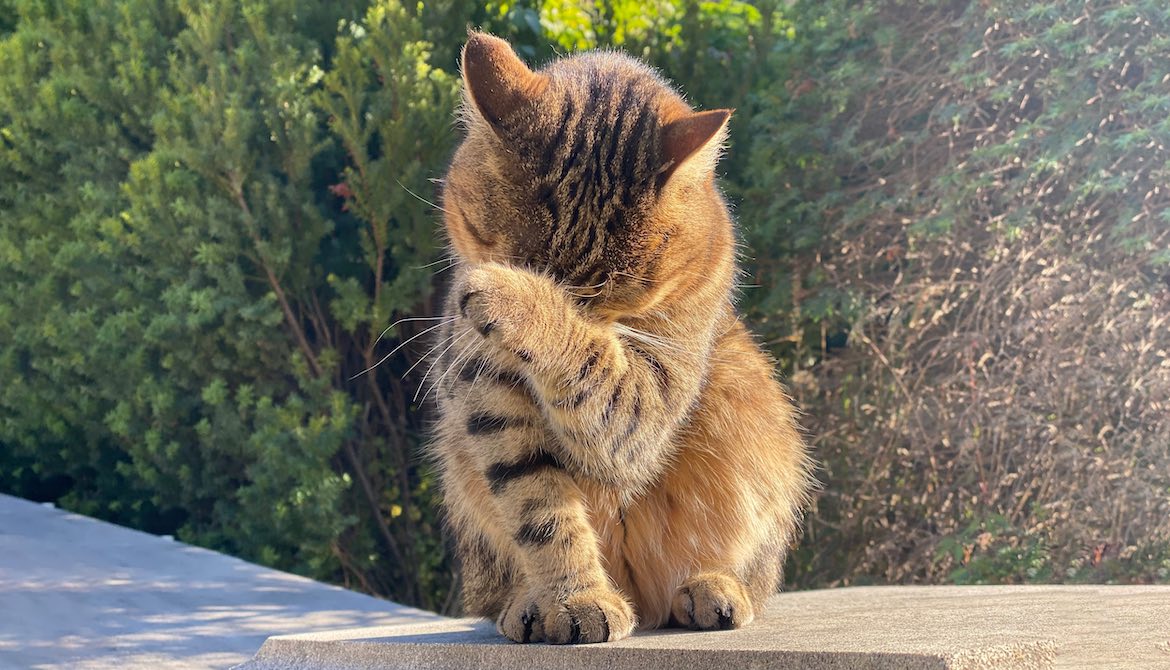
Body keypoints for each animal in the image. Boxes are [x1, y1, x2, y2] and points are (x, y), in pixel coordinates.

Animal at [430, 32, 814, 640]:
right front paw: (575, 599)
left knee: (752, 572)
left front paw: (520, 301)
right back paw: (525, 603)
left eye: (610, 292)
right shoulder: (487, 394)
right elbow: (539, 508)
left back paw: (712, 586)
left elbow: (597, 367)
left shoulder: (646, 407)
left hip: (751, 403)